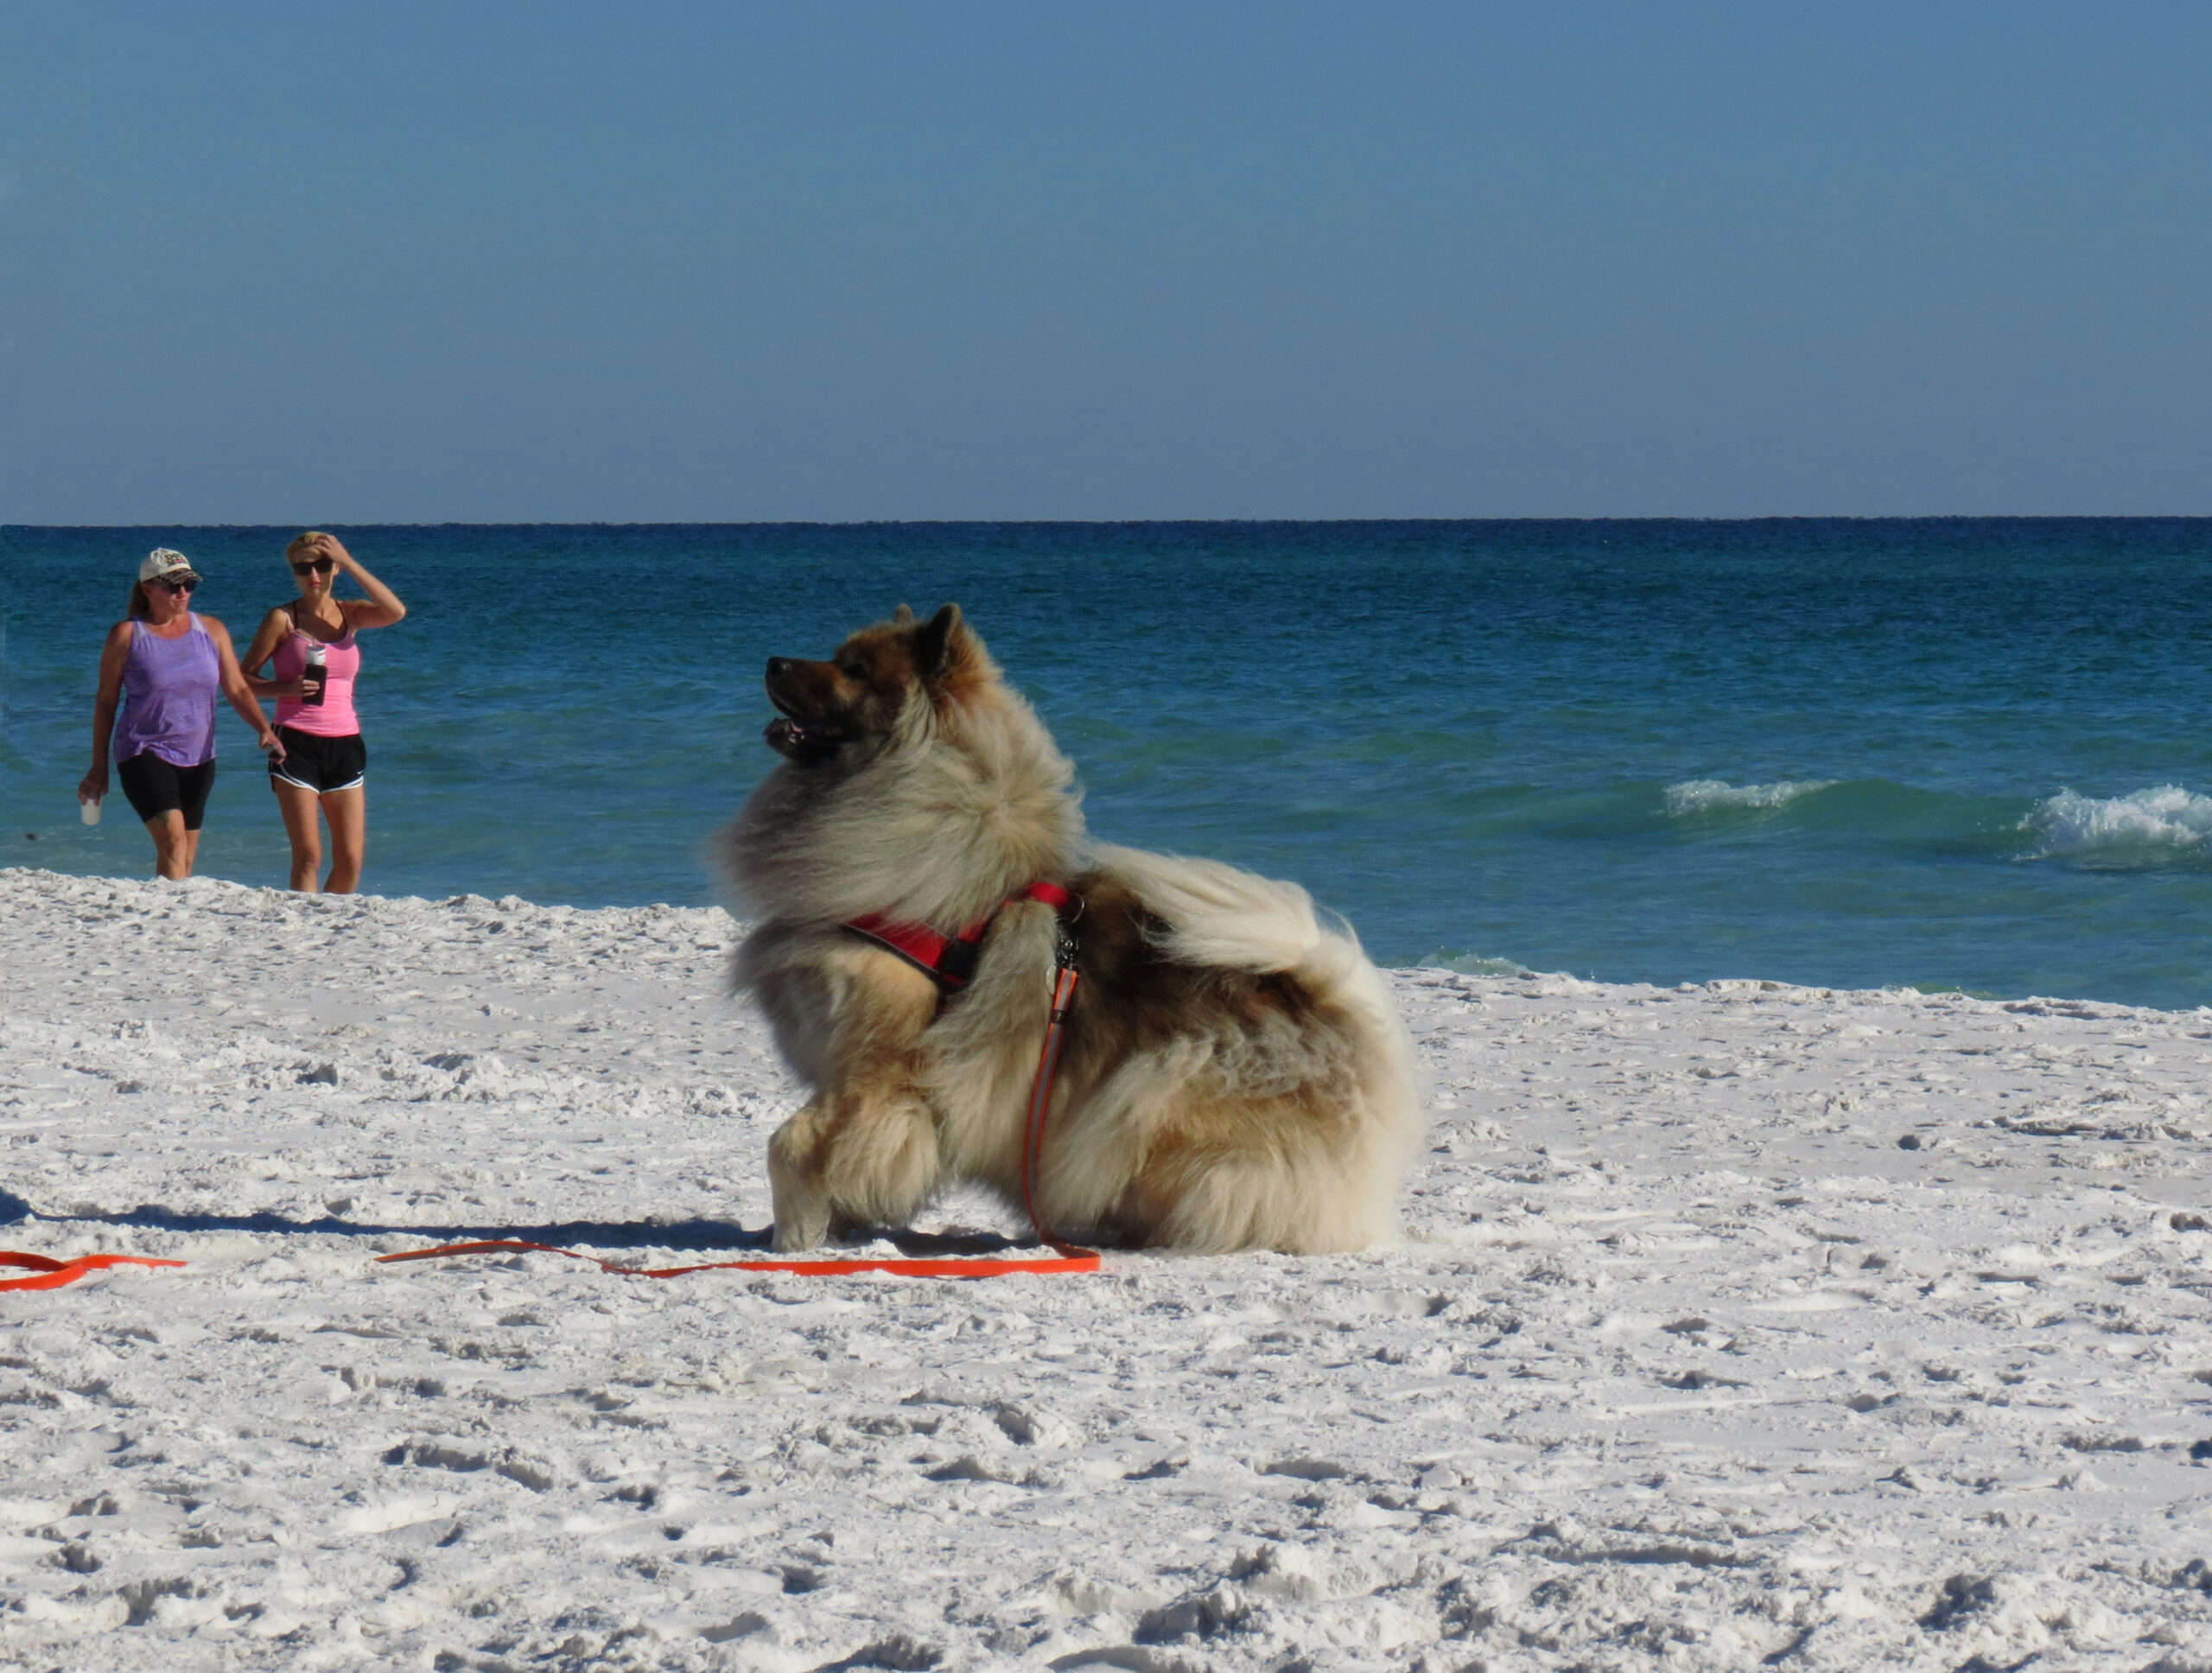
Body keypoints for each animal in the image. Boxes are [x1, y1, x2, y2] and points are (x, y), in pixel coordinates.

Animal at [721, 606, 1415, 1256]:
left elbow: (790, 1145)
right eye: (838, 656)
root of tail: (1329, 1008)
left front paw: (793, 1240)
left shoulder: (873, 1073)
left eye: (855, 671)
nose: (773, 662)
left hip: (1153, 1089)